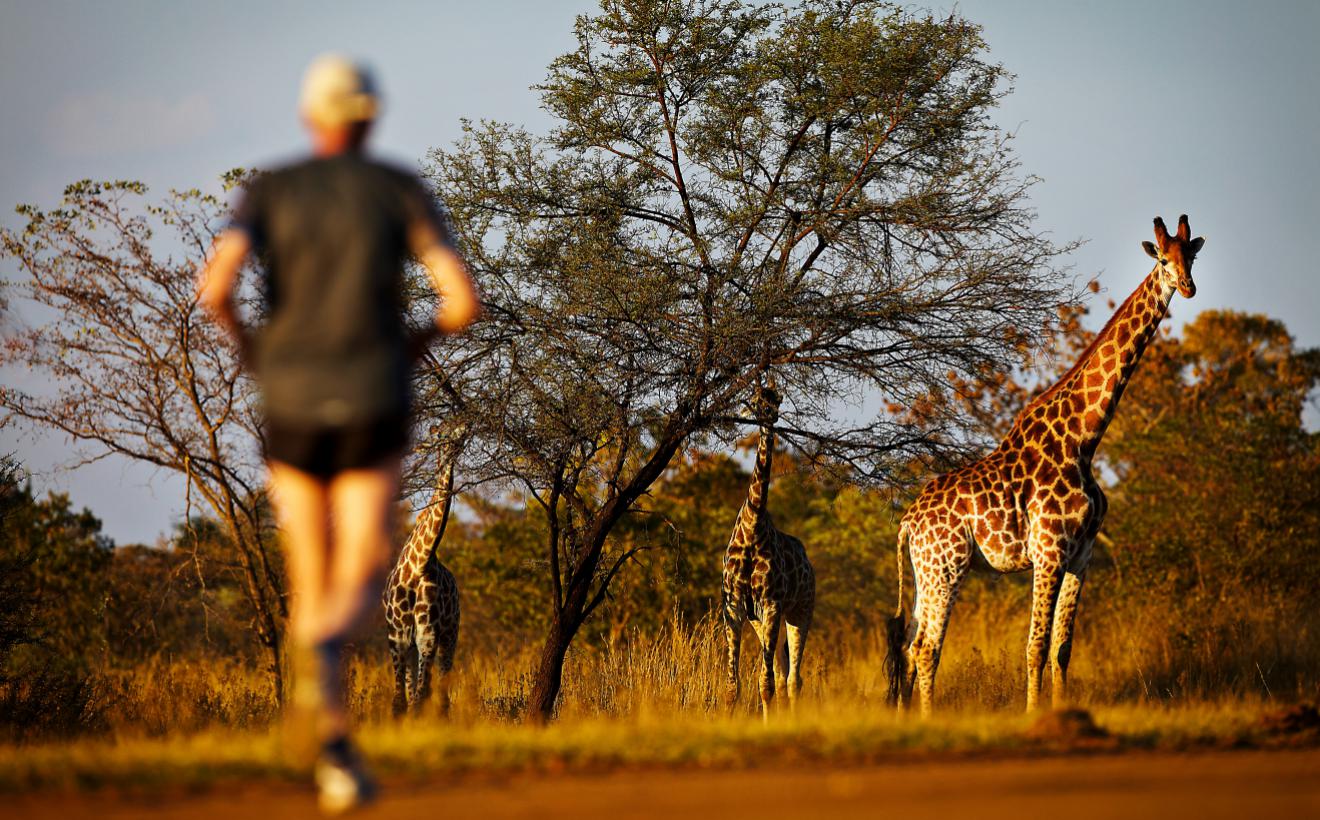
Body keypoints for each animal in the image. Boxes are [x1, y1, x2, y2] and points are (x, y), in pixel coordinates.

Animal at [382, 425, 464, 713]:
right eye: (442, 437)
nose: (465, 429)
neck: (420, 563)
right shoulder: (397, 637)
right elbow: (399, 701)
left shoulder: (428, 635)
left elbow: (419, 698)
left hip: (450, 633)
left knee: (439, 690)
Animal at [723, 377, 813, 718]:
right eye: (756, 400)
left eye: (777, 401)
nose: (769, 417)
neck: (752, 529)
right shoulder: (734, 606)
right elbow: (733, 686)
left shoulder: (774, 603)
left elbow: (767, 683)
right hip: (760, 620)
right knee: (781, 671)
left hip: (801, 611)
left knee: (793, 679)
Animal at [887, 213, 1209, 713]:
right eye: (1161, 258)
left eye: (1190, 255)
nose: (1189, 287)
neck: (1084, 438)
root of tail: (908, 522)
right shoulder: (1049, 550)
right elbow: (1036, 645)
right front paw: (1035, 716)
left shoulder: (1083, 553)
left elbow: (1062, 647)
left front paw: (1061, 712)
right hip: (947, 566)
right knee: (925, 648)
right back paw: (926, 720)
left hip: (926, 571)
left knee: (908, 645)